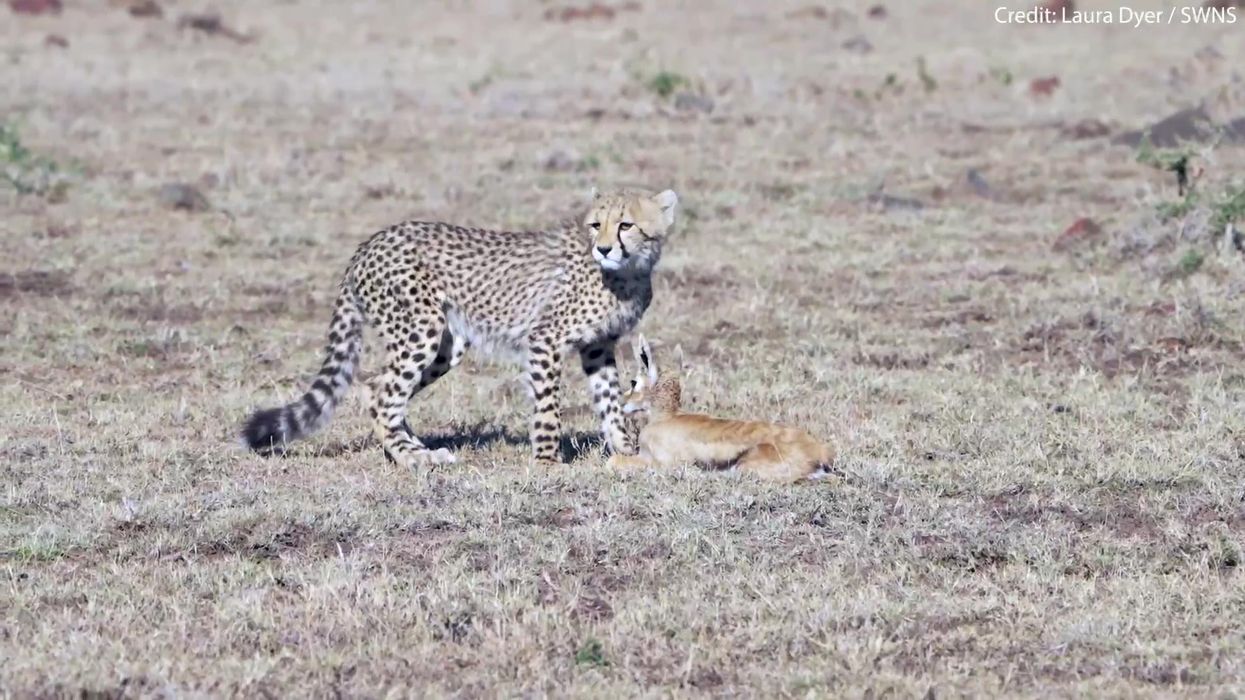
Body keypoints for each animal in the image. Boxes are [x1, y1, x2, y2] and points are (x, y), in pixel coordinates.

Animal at [240, 187, 679, 467]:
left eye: (625, 225)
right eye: (594, 225)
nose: (603, 249)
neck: (628, 272)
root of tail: (369, 244)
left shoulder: (598, 346)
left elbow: (610, 401)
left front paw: (625, 449)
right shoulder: (544, 339)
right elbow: (548, 407)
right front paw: (548, 461)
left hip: (446, 344)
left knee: (376, 388)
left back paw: (412, 449)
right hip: (421, 329)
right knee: (382, 393)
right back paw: (413, 459)